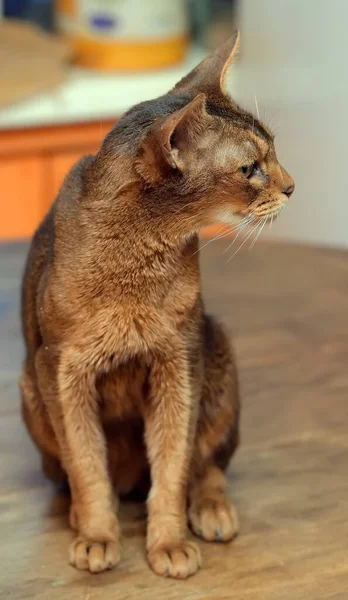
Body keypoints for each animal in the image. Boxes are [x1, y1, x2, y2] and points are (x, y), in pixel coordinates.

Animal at [20, 31, 294, 576]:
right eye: (250, 169)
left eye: (272, 153)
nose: (292, 186)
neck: (138, 258)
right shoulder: (60, 367)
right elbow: (86, 464)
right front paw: (97, 534)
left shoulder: (179, 356)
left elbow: (173, 464)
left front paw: (167, 543)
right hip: (28, 389)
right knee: (71, 474)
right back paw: (78, 513)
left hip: (217, 348)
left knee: (207, 463)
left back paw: (210, 510)